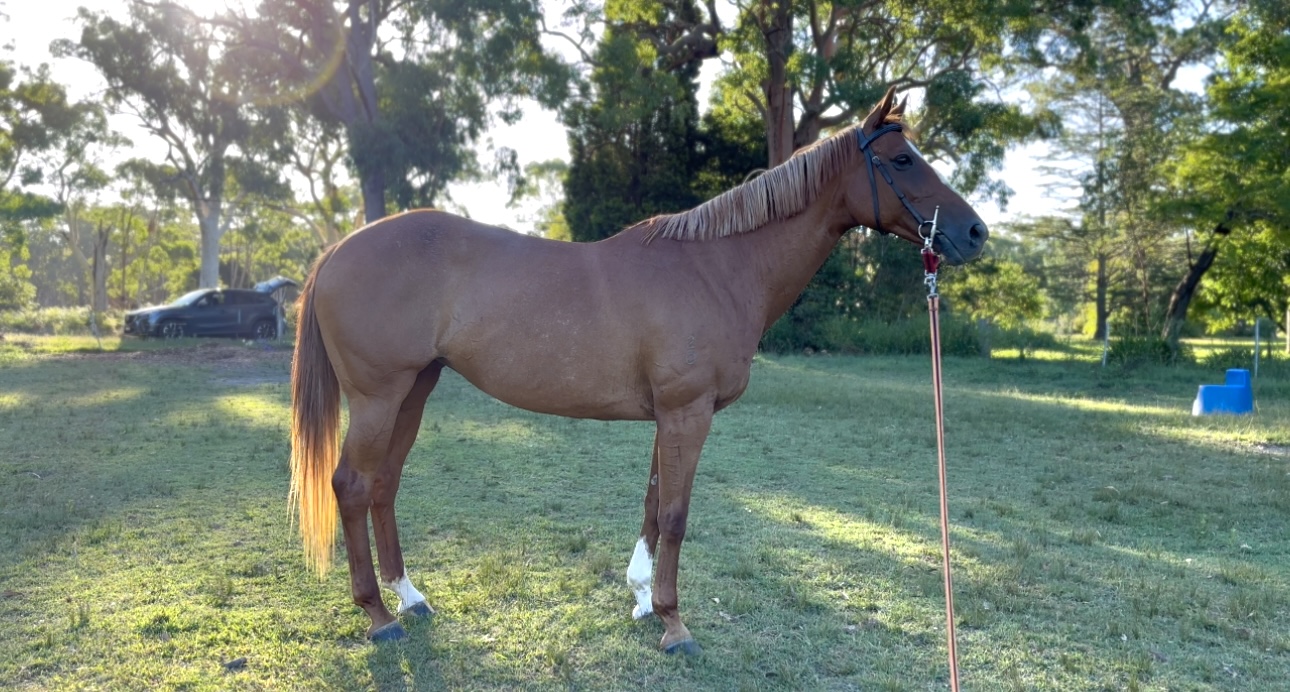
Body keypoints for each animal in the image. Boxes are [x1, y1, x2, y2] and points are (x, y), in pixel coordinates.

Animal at [288, 87, 988, 655]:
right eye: (903, 160)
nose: (976, 233)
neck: (717, 267)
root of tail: (338, 249)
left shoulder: (670, 416)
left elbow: (654, 505)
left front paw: (645, 601)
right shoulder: (687, 413)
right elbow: (676, 514)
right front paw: (675, 626)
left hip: (415, 390)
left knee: (384, 486)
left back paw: (409, 597)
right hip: (378, 397)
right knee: (351, 485)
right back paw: (379, 617)